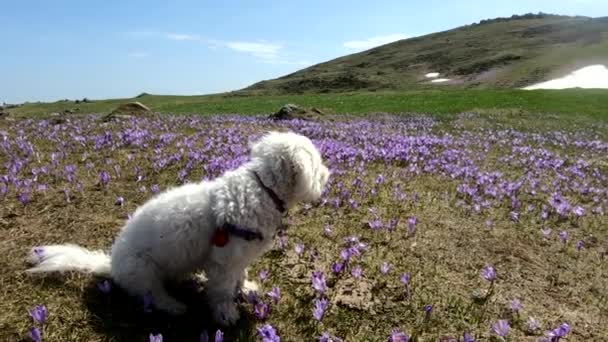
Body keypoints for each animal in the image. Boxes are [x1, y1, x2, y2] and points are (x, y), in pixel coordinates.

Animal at [25, 131, 328, 326]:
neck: (262, 188)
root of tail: (110, 265)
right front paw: (226, 314)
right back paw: (174, 305)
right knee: (152, 295)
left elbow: (240, 277)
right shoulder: (224, 260)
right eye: (316, 162)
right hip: (144, 271)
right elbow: (222, 292)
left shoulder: (238, 257)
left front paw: (247, 288)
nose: (328, 174)